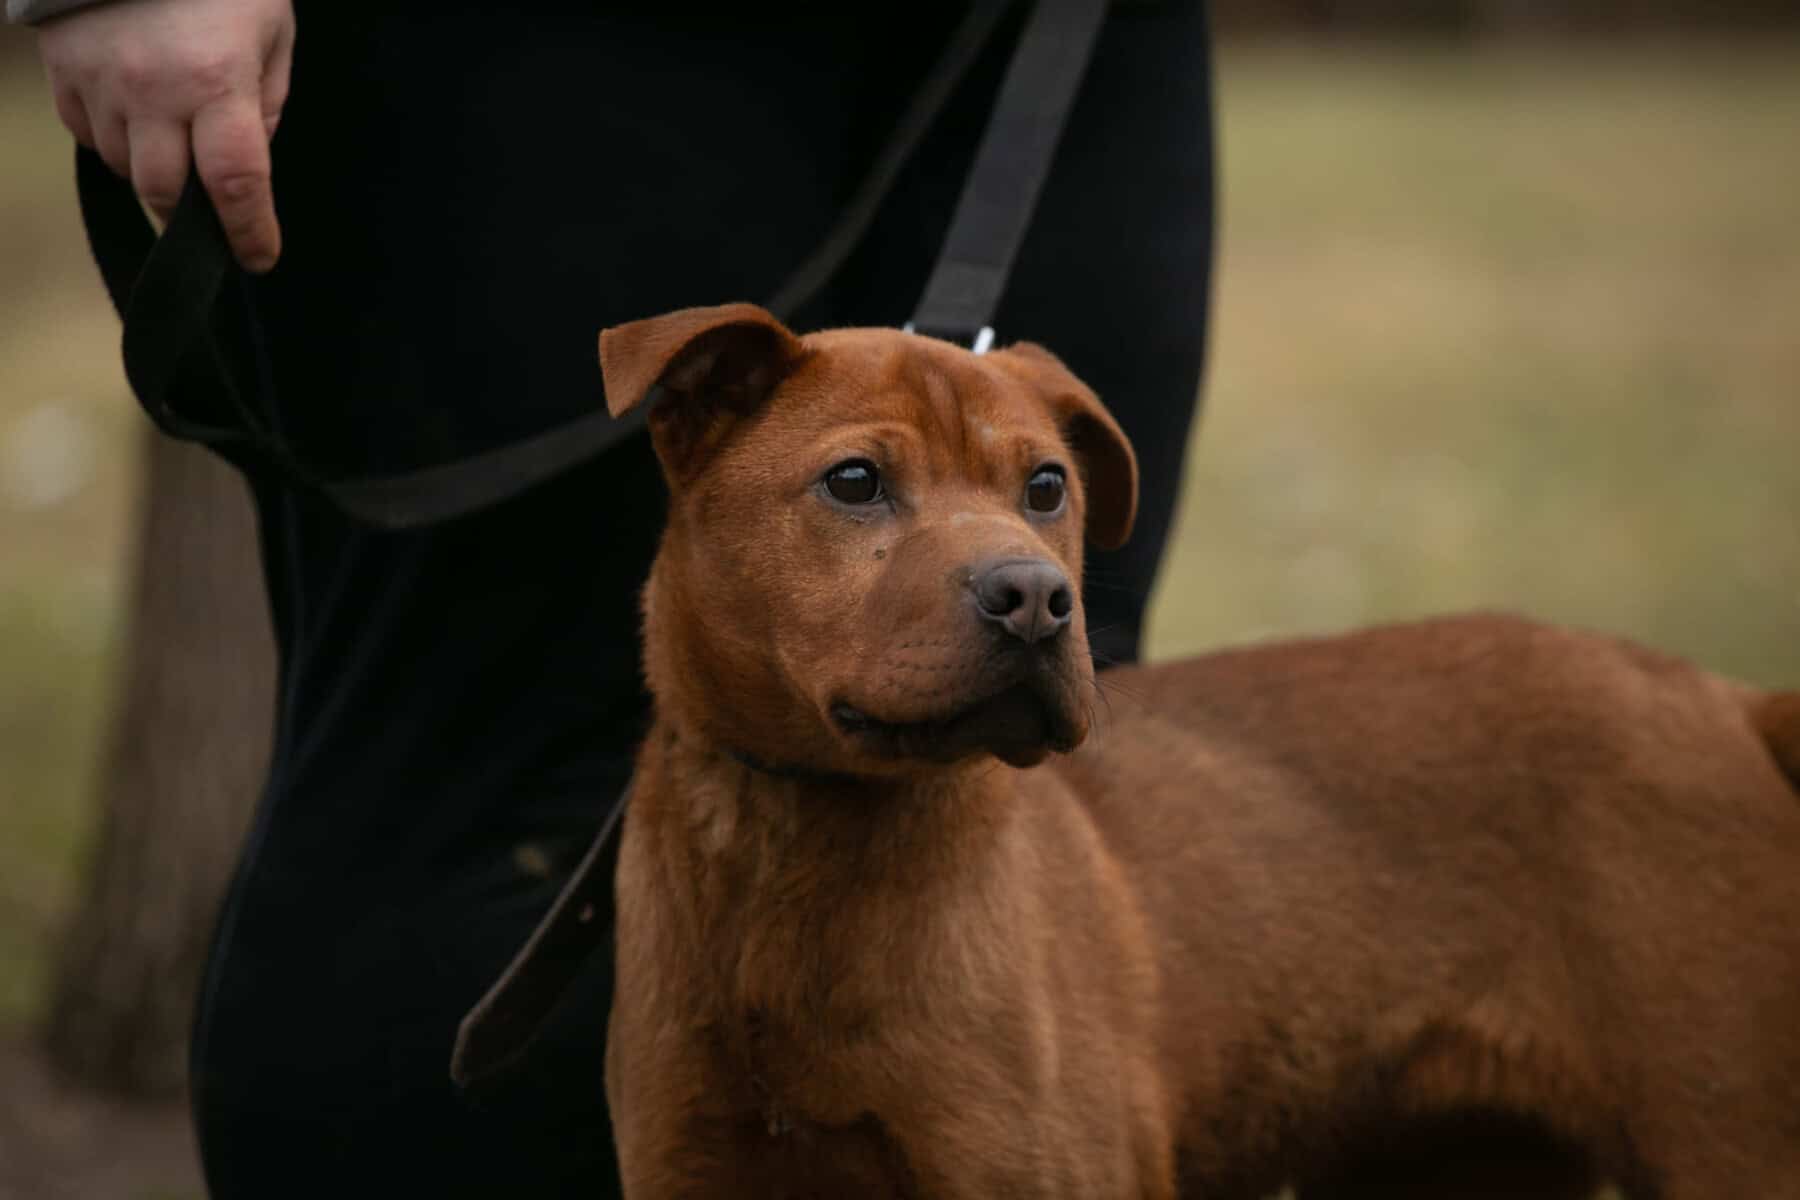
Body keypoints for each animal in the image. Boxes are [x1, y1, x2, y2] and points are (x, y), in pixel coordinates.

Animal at [482, 302, 1800, 1197]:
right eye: (853, 481)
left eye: (1046, 485)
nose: (1032, 599)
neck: (809, 859)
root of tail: (1728, 704)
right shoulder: (695, 1166)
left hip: (1727, 1134)